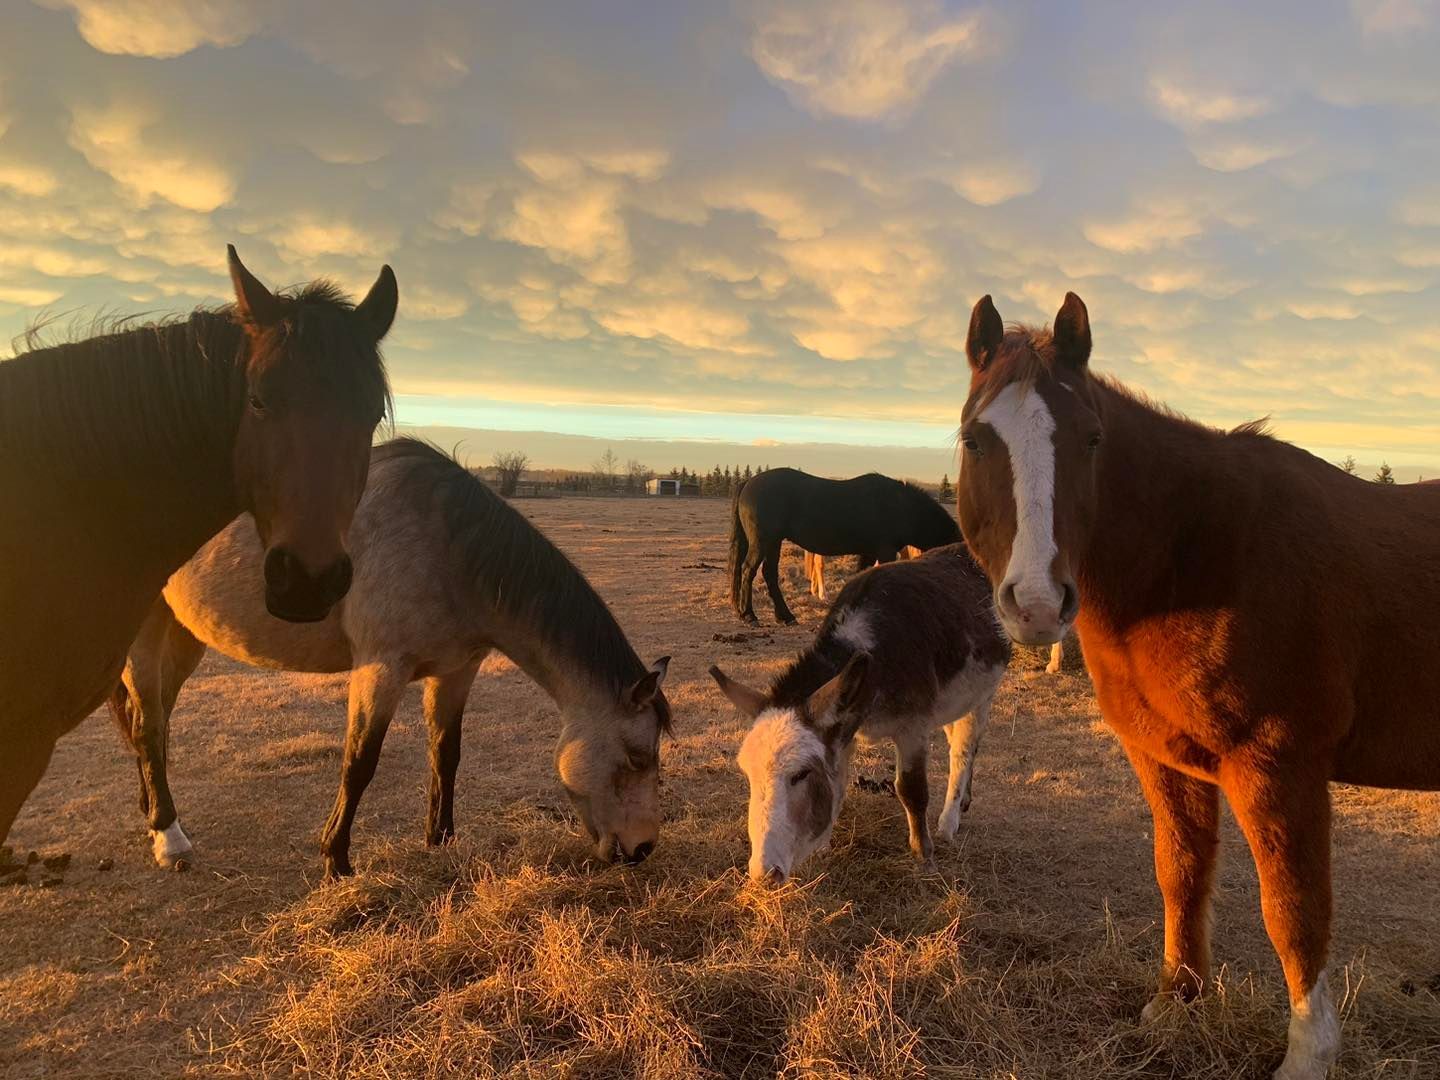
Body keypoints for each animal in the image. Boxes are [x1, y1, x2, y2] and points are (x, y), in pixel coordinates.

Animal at [110, 439, 672, 877]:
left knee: (152, 723)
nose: (643, 848)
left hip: (185, 635)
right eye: (637, 757)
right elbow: (360, 761)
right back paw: (170, 837)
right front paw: (336, 859)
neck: (449, 548)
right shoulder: (381, 669)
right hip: (145, 637)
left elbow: (446, 754)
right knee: (148, 726)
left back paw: (153, 812)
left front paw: (440, 840)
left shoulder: (455, 672)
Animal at [711, 544, 1009, 881]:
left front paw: (924, 857)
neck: (871, 651)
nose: (763, 875)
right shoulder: (844, 724)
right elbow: (838, 784)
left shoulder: (912, 728)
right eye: (748, 775)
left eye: (801, 774)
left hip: (981, 695)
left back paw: (949, 820)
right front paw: (824, 848)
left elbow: (912, 790)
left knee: (964, 750)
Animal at [729, 469, 959, 625]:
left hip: (774, 543)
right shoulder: (885, 551)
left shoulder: (869, 552)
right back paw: (749, 615)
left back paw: (785, 616)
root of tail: (748, 483)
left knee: (769, 574)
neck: (899, 506)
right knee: (748, 570)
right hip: (763, 541)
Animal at [954, 291, 1440, 1080]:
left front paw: (1308, 1055)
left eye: (1092, 439)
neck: (1198, 555)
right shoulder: (1163, 756)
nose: (1037, 604)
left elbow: (1293, 911)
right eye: (974, 440)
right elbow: (1180, 871)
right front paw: (1176, 1001)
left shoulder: (1278, 766)